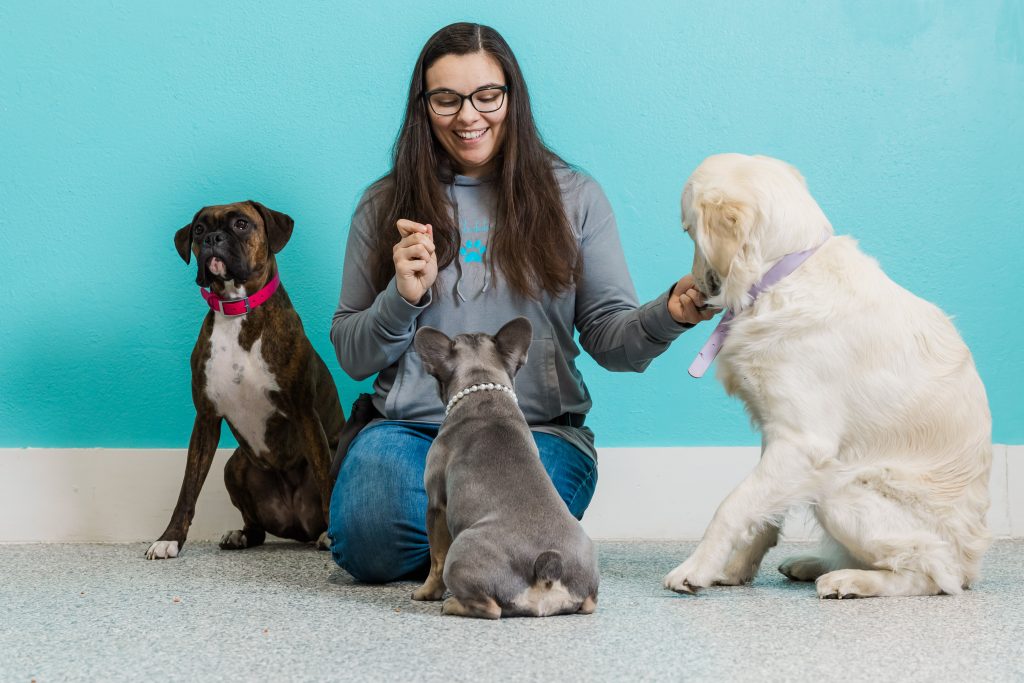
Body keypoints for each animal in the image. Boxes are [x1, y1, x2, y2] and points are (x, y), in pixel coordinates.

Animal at [146, 200, 344, 557]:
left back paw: (325, 533)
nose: (213, 238)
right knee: (257, 528)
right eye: (198, 229)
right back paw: (240, 535)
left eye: (241, 224)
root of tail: (299, 525)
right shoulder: (206, 418)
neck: (237, 310)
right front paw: (170, 538)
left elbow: (326, 480)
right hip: (235, 466)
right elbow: (188, 487)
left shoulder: (305, 414)